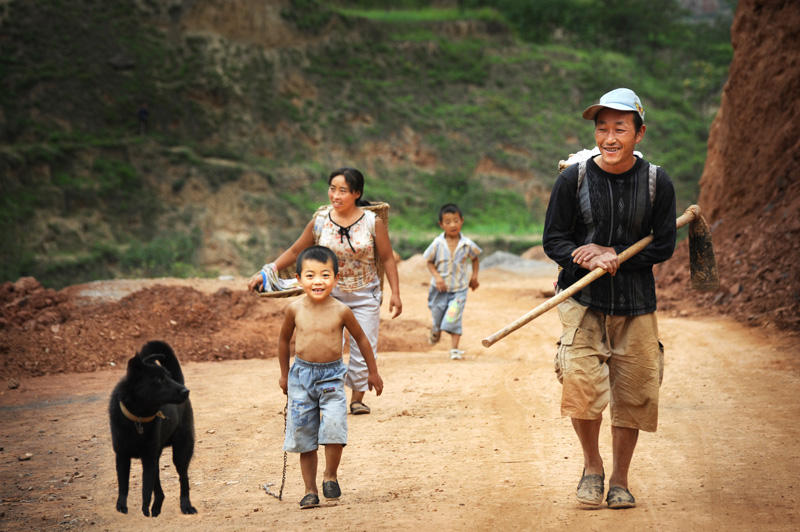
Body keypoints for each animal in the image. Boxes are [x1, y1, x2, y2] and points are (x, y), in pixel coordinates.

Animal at [108, 340, 197, 516]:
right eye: (159, 380)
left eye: (168, 377)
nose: (186, 391)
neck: (138, 419)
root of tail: (181, 381)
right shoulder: (122, 456)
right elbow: (123, 484)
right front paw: (122, 506)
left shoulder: (148, 457)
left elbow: (146, 490)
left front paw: (145, 511)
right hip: (157, 456)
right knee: (159, 486)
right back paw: (157, 506)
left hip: (181, 452)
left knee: (183, 478)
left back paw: (185, 505)